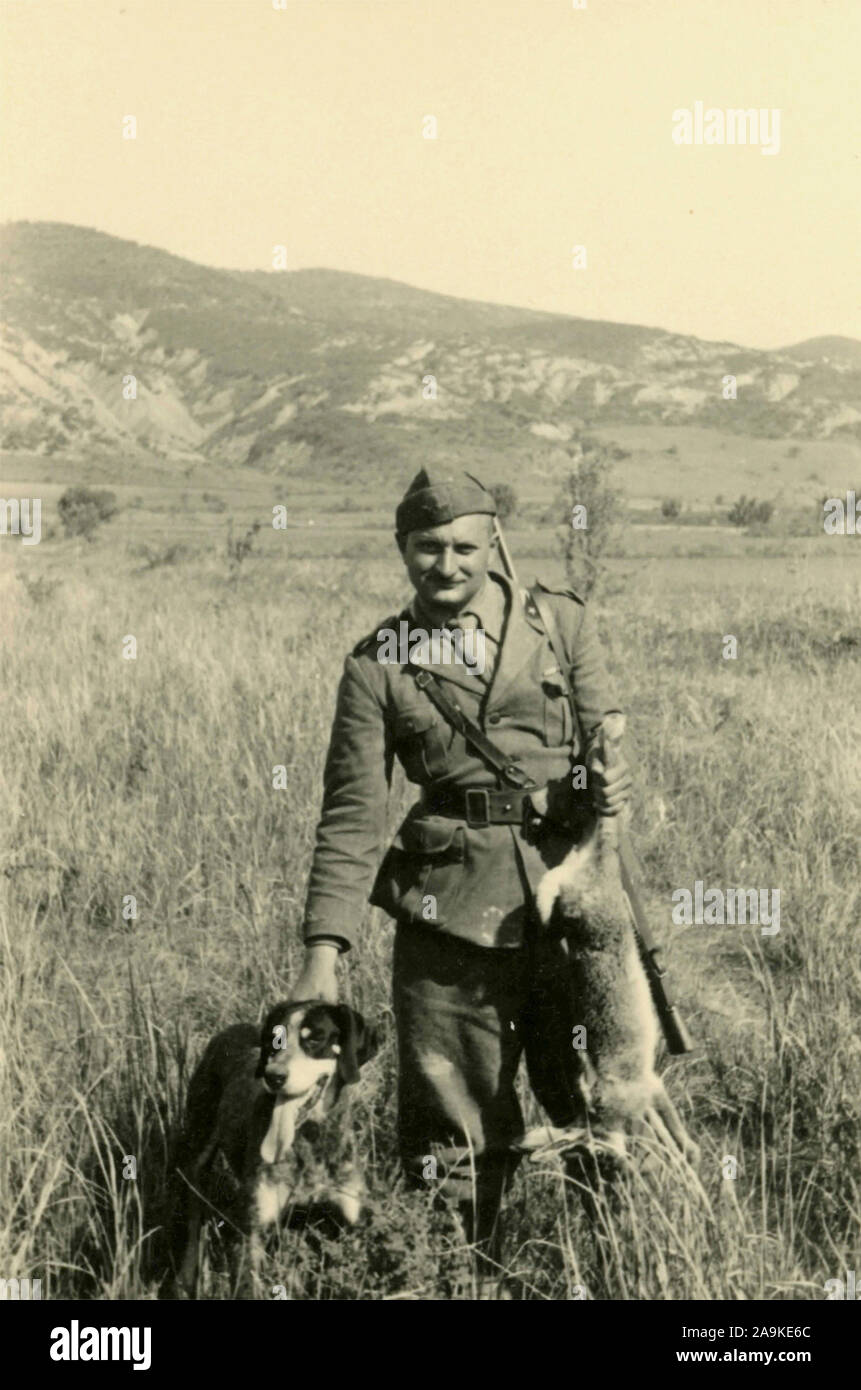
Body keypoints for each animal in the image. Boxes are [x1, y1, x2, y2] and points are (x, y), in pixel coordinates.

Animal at [170, 1000, 378, 1289]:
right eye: (274, 1040)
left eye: (315, 1038)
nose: (273, 1076)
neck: (309, 1141)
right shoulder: (251, 1234)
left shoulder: (352, 1219)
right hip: (199, 1146)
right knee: (193, 1216)